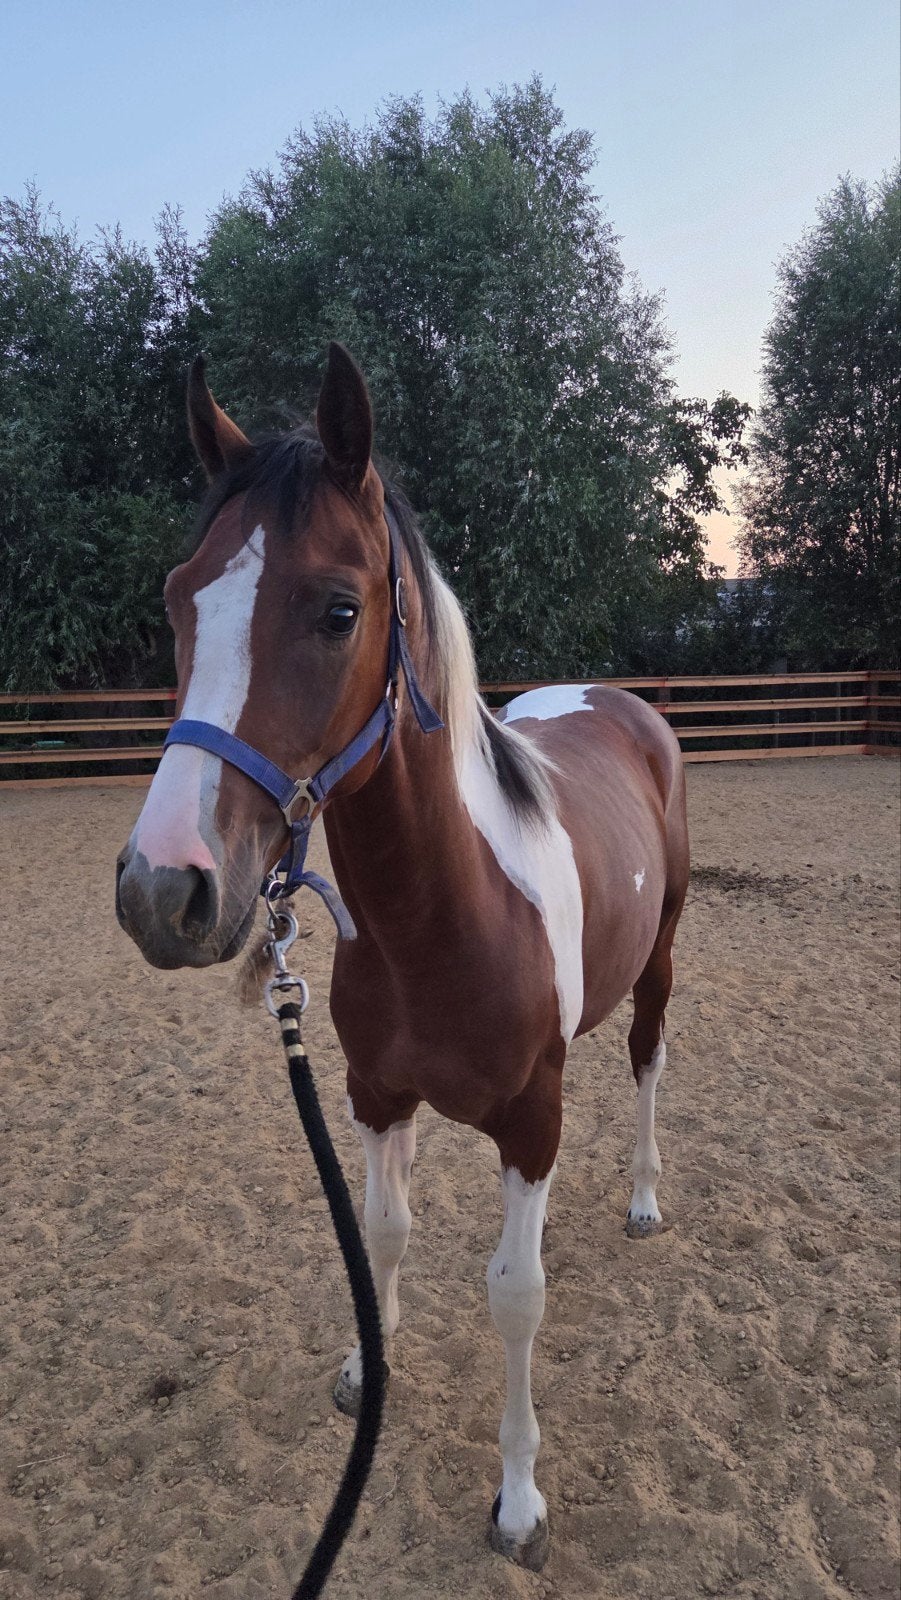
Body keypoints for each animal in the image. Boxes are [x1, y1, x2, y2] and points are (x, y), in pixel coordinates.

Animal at [115, 342, 689, 1573]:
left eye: (339, 610)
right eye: (181, 597)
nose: (161, 890)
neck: (447, 917)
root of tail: (621, 703)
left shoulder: (530, 1119)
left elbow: (515, 1293)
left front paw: (517, 1502)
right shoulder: (375, 1096)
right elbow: (383, 1231)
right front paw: (365, 1371)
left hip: (661, 962)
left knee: (647, 1064)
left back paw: (640, 1199)